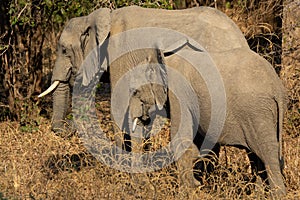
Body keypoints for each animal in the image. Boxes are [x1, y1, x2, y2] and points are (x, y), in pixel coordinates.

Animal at [38, 5, 288, 197]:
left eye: (63, 50)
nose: (67, 127)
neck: (100, 17)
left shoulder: (120, 56)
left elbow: (120, 112)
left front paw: (127, 180)